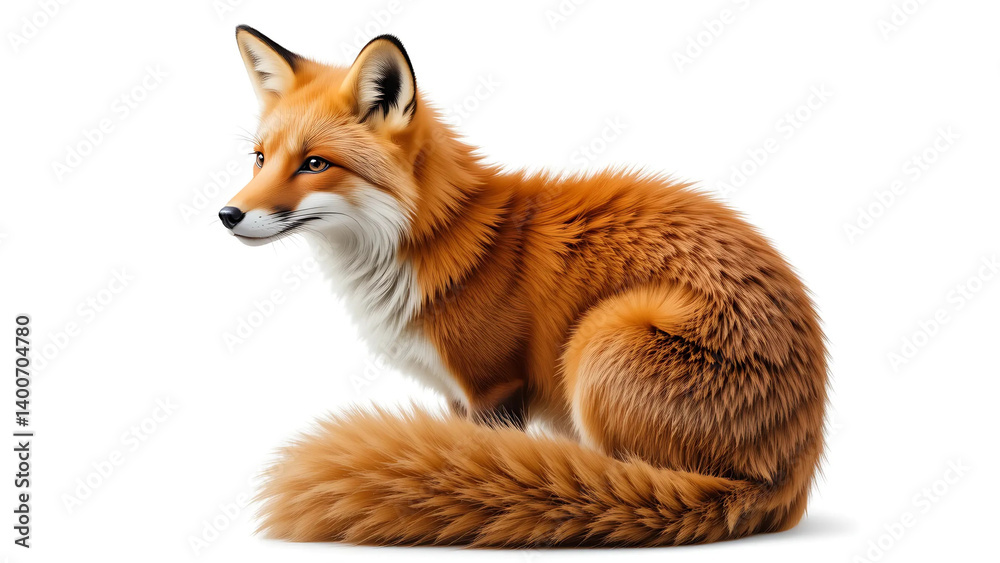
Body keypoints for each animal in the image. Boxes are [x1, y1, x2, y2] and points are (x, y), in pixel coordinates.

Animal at [221, 25, 828, 547]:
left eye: (314, 164)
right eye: (259, 159)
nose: (227, 215)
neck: (428, 241)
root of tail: (780, 481)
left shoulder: (494, 385)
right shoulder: (458, 399)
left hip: (598, 339)